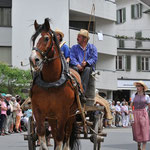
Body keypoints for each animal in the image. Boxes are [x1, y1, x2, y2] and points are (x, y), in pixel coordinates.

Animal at [28, 17, 82, 150]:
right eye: (33, 39)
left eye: (46, 38)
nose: (33, 59)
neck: (51, 82)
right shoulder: (38, 110)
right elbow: (41, 133)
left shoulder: (63, 113)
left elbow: (60, 137)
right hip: (52, 116)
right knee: (53, 130)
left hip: (71, 114)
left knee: (66, 134)